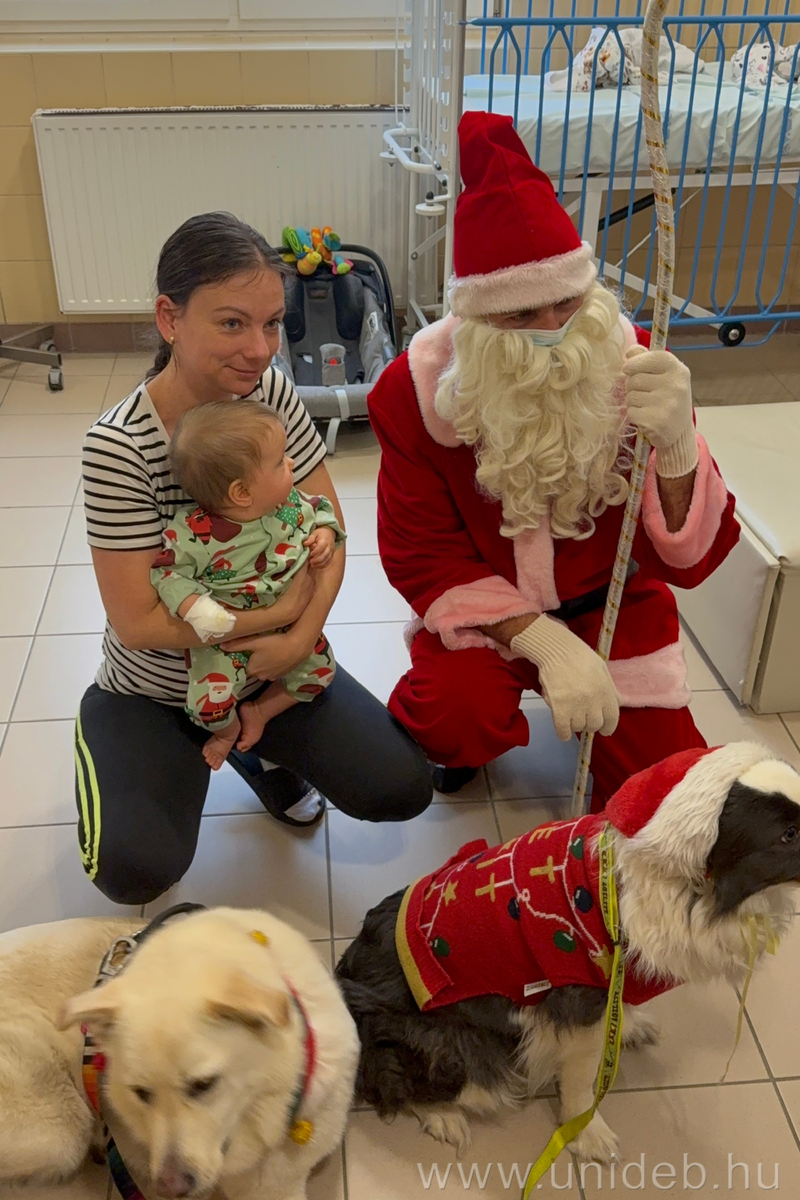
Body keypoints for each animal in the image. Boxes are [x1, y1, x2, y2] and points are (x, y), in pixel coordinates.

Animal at [336, 743, 800, 1164]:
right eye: (788, 835)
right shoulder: (576, 1005)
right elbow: (580, 1081)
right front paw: (585, 1133)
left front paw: (629, 1026)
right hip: (446, 1046)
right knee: (390, 1079)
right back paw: (443, 1116)